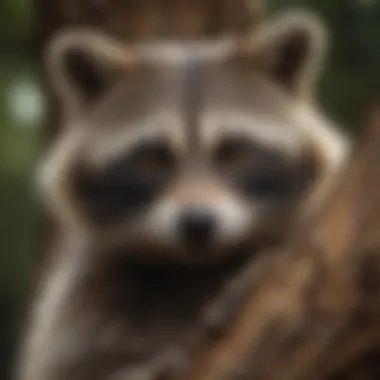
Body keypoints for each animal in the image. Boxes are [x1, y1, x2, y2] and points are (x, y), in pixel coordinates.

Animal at [16, 10, 348, 380]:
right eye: (152, 158)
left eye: (234, 153)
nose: (198, 223)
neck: (194, 265)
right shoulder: (82, 308)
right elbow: (72, 365)